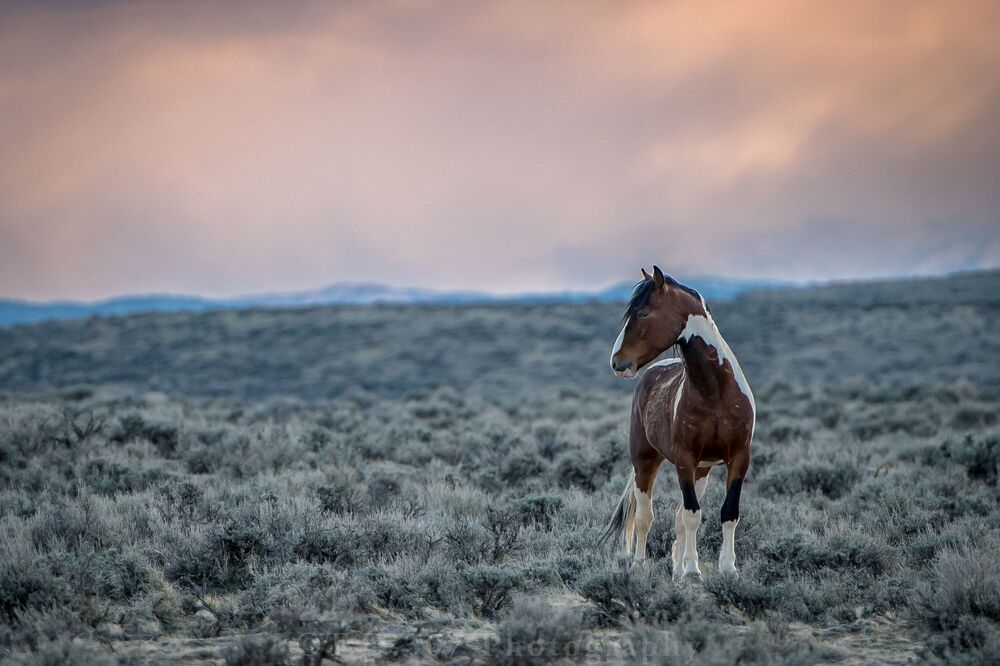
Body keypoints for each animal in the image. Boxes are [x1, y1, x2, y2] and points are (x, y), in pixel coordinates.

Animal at [601, 266, 755, 580]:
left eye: (643, 313)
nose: (617, 362)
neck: (715, 391)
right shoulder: (684, 459)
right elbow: (692, 515)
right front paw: (693, 572)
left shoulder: (738, 458)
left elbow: (728, 513)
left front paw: (727, 568)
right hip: (645, 460)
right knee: (646, 516)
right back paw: (640, 565)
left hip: (702, 471)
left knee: (676, 518)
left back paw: (677, 568)